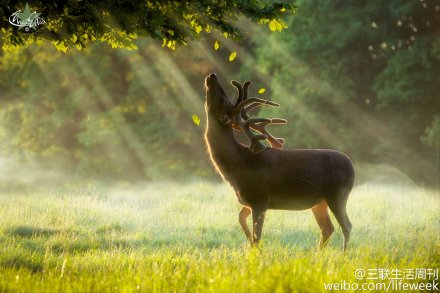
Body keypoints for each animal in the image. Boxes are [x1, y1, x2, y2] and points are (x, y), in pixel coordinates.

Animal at [205, 72, 356, 249]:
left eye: (222, 99)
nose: (212, 75)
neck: (237, 166)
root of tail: (352, 166)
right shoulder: (250, 201)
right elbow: (241, 219)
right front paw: (248, 243)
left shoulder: (260, 198)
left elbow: (257, 236)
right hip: (320, 201)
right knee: (328, 227)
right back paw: (318, 253)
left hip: (338, 194)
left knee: (346, 226)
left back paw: (343, 253)